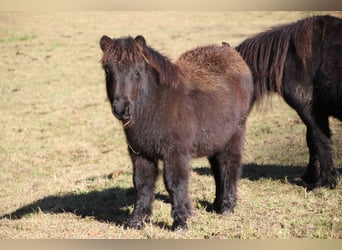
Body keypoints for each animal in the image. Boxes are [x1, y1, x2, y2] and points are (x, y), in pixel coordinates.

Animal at [99, 34, 254, 230]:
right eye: (107, 71)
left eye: (137, 72)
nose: (121, 109)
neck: (158, 104)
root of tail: (228, 50)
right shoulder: (140, 154)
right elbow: (142, 184)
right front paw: (137, 221)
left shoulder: (175, 153)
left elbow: (175, 183)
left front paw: (180, 221)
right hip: (215, 140)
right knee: (218, 169)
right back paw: (216, 204)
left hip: (235, 134)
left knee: (230, 166)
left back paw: (227, 206)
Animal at [236, 14, 340, 189]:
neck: (291, 58)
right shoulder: (316, 112)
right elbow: (312, 141)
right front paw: (310, 176)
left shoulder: (309, 109)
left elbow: (320, 140)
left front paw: (324, 182)